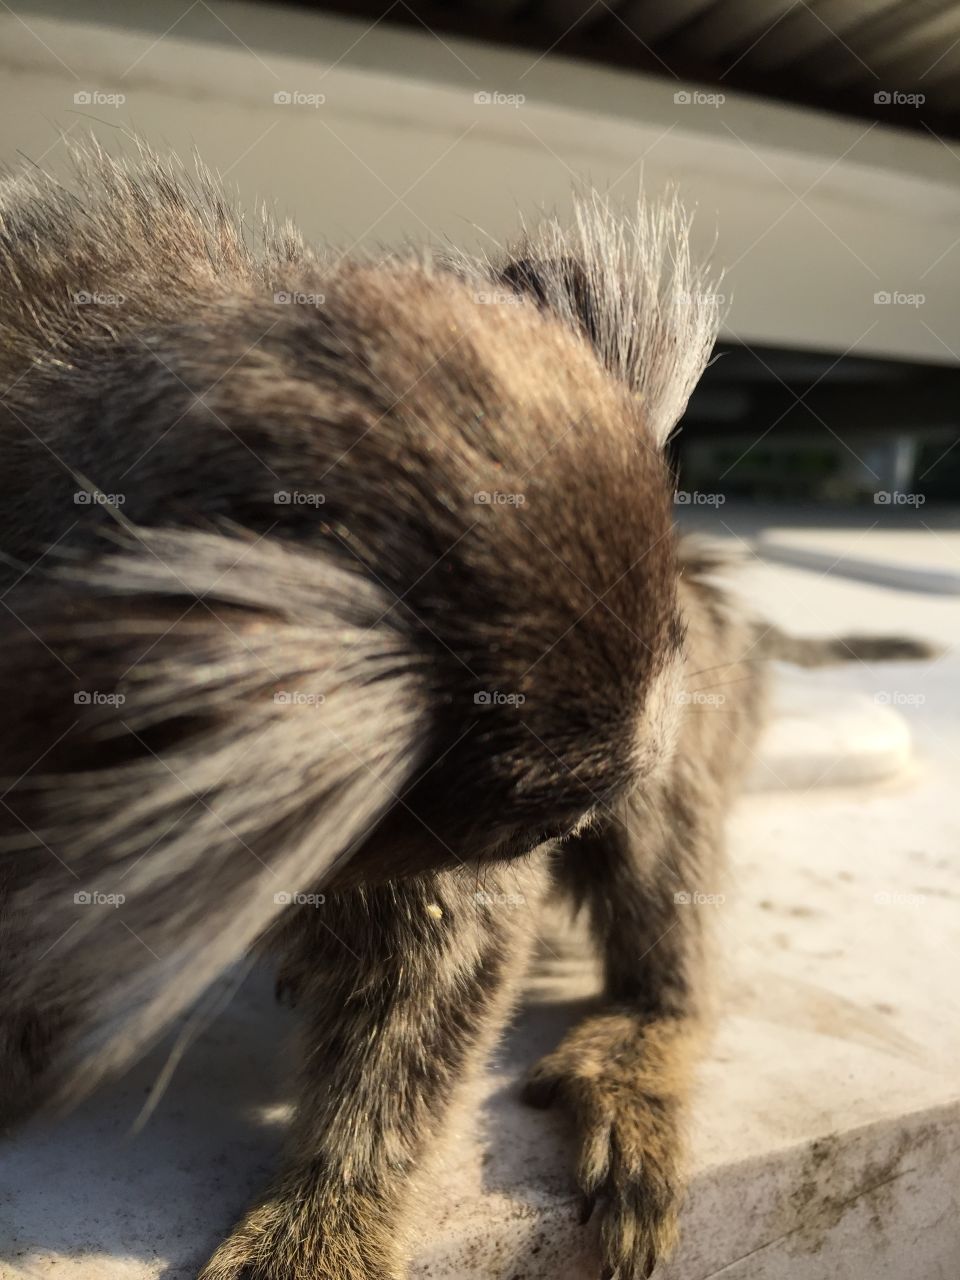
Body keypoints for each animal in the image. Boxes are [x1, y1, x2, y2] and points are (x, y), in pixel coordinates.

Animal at [0, 140, 934, 1280]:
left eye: (537, 829)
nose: (570, 826)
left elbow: (443, 970)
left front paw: (327, 1211)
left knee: (667, 860)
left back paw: (643, 1039)